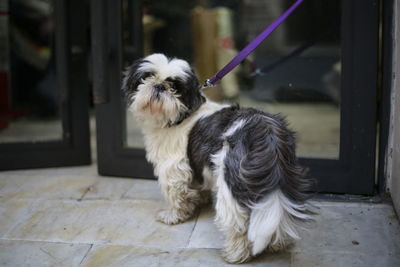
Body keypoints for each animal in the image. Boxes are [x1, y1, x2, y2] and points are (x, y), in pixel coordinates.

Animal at [121, 52, 312, 264]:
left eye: (175, 87)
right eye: (146, 77)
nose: (159, 86)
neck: (179, 118)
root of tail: (264, 130)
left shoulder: (172, 169)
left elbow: (176, 195)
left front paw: (173, 215)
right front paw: (199, 198)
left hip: (231, 183)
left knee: (237, 222)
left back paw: (236, 254)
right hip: (280, 177)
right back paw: (277, 244)